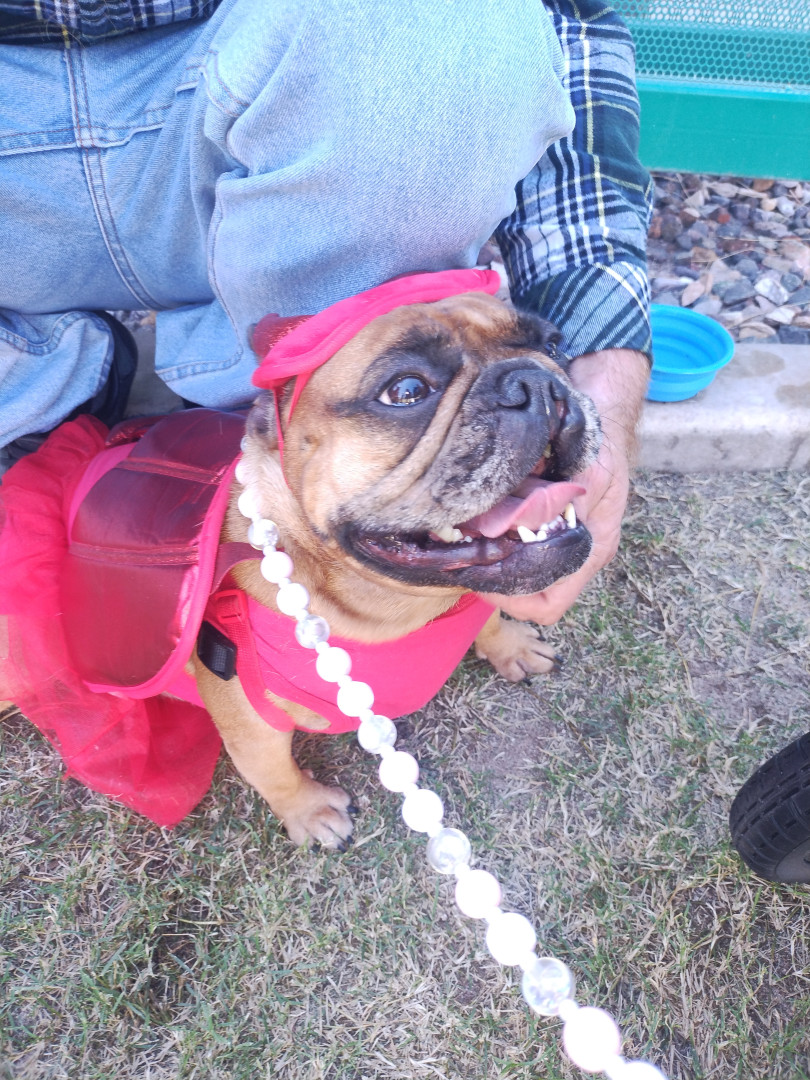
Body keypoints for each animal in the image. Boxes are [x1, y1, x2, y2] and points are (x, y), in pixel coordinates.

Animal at [0, 270, 600, 845]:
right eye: (406, 390)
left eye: (553, 343)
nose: (537, 380)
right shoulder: (248, 719)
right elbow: (271, 769)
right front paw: (310, 812)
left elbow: (491, 614)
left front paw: (511, 644)